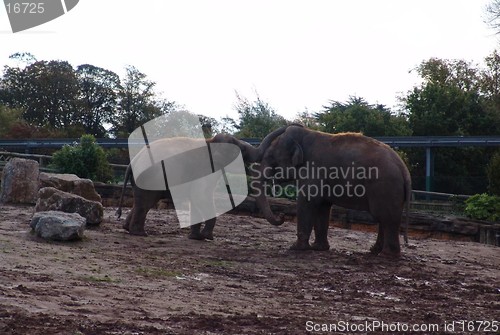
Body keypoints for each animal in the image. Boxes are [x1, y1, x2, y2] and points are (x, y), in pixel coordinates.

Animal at [114, 130, 286, 240]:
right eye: (242, 150)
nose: (281, 215)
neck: (211, 142)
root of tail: (132, 163)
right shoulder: (205, 170)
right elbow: (201, 197)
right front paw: (207, 237)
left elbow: (196, 199)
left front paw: (196, 237)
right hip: (151, 178)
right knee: (147, 202)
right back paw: (140, 234)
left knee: (142, 201)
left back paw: (128, 229)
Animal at [250, 124, 410, 258]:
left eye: (271, 158)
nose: (281, 215)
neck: (306, 134)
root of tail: (404, 170)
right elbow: (322, 206)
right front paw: (318, 248)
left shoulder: (314, 169)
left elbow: (307, 201)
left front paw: (295, 248)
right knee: (383, 218)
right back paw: (374, 251)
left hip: (385, 187)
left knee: (385, 217)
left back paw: (386, 255)